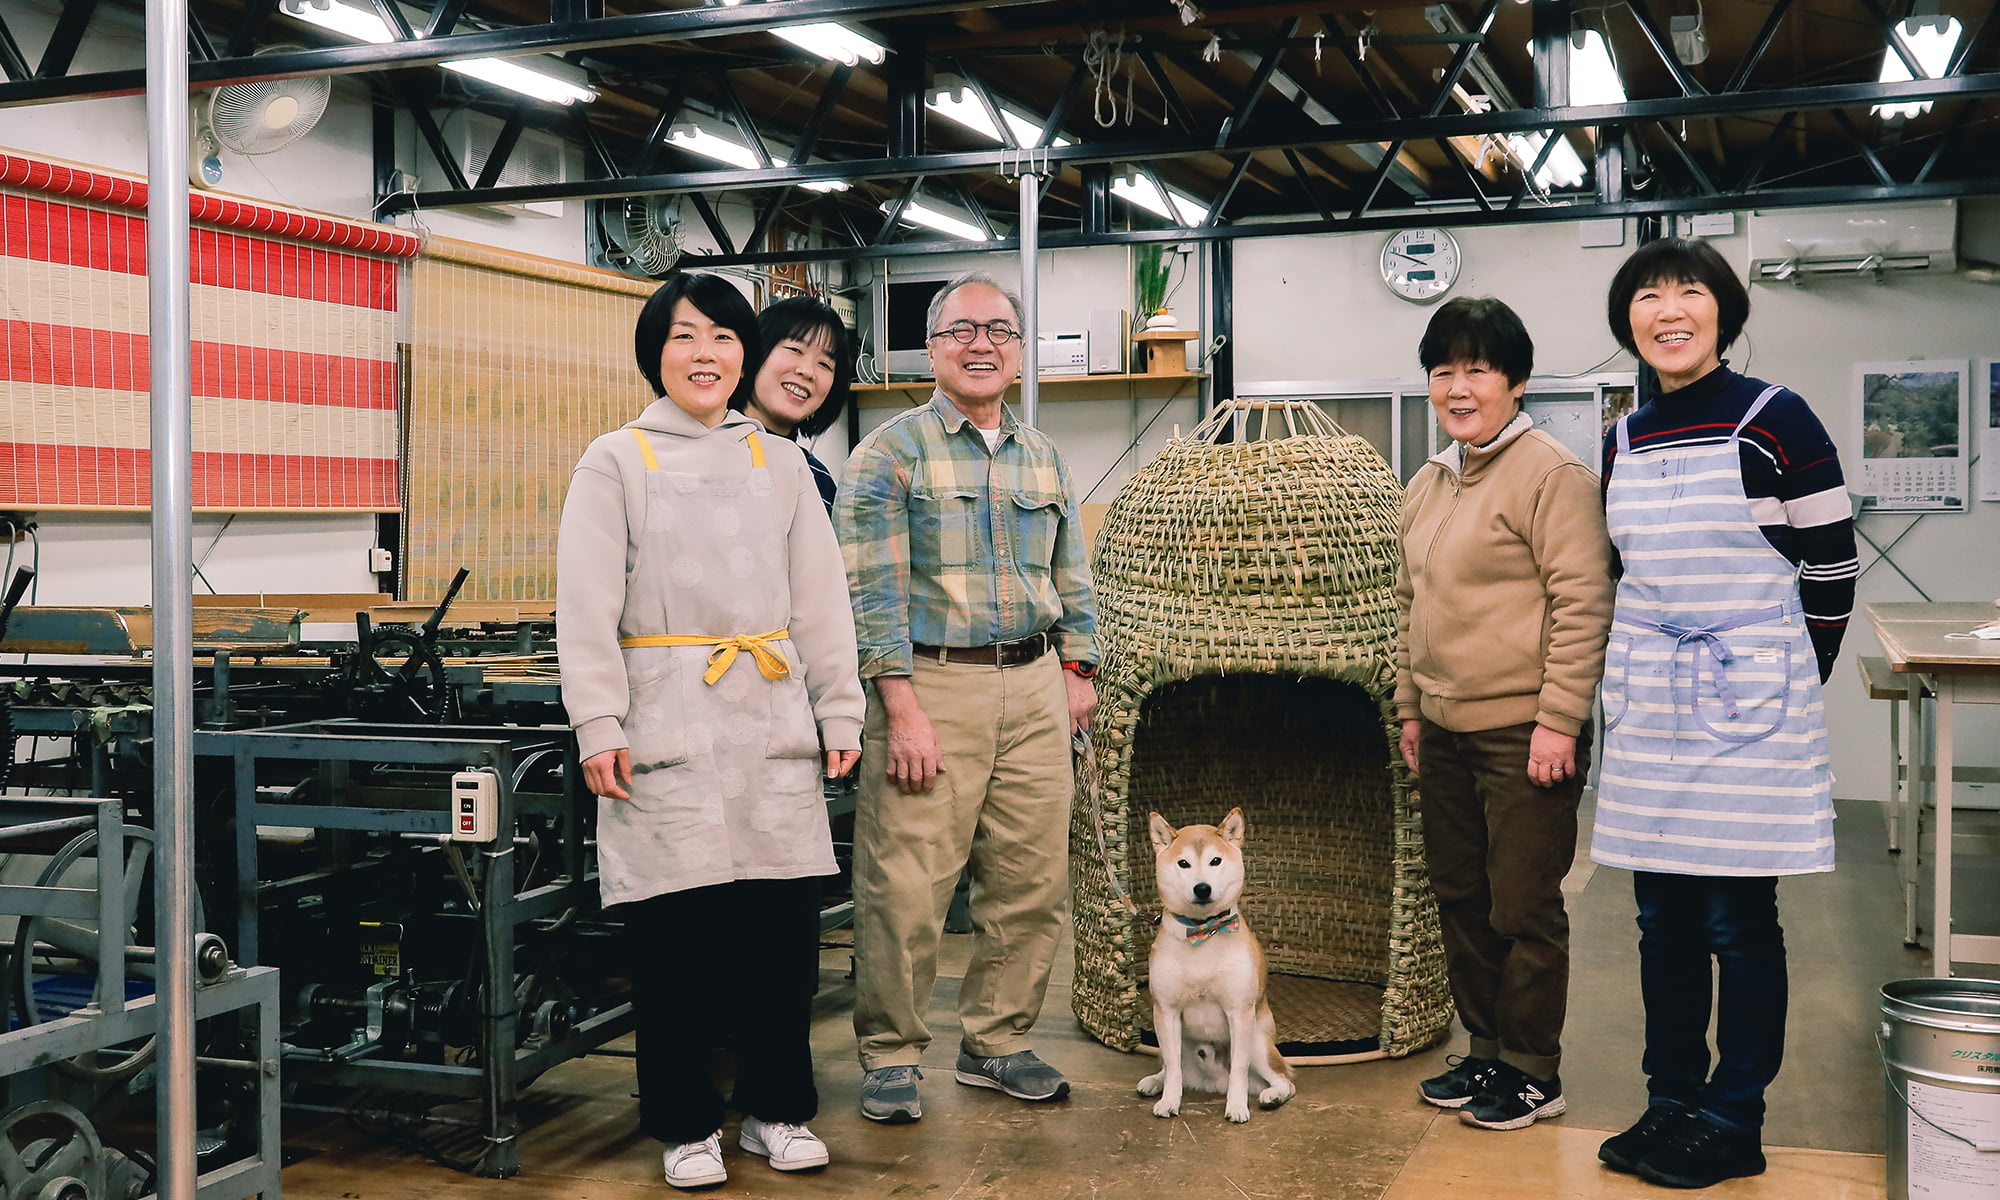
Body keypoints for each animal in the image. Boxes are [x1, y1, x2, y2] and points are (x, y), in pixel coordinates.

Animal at [1136, 808, 1304, 1128]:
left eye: (1216, 860)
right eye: (1184, 863)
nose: (1202, 888)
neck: (1204, 932)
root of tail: (1212, 1082)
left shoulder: (1239, 1013)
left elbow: (1238, 1069)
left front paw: (1237, 1107)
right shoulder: (1166, 1011)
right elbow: (1174, 1069)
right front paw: (1169, 1101)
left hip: (1258, 1043)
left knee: (1285, 1080)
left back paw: (1272, 1096)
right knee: (1172, 1067)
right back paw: (1153, 1082)